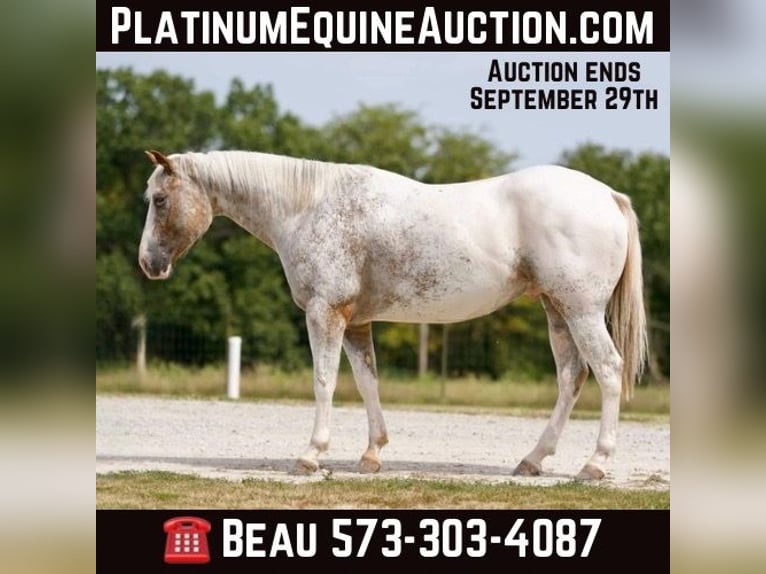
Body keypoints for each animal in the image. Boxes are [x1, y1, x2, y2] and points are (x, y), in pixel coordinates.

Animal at [138, 149, 647, 480]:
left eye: (159, 200)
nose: (148, 263)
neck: (309, 207)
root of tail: (607, 196)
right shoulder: (356, 321)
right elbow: (368, 383)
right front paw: (371, 455)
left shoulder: (325, 313)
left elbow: (324, 382)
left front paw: (311, 455)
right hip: (557, 310)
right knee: (571, 377)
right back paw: (532, 460)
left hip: (581, 310)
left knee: (607, 370)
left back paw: (595, 464)